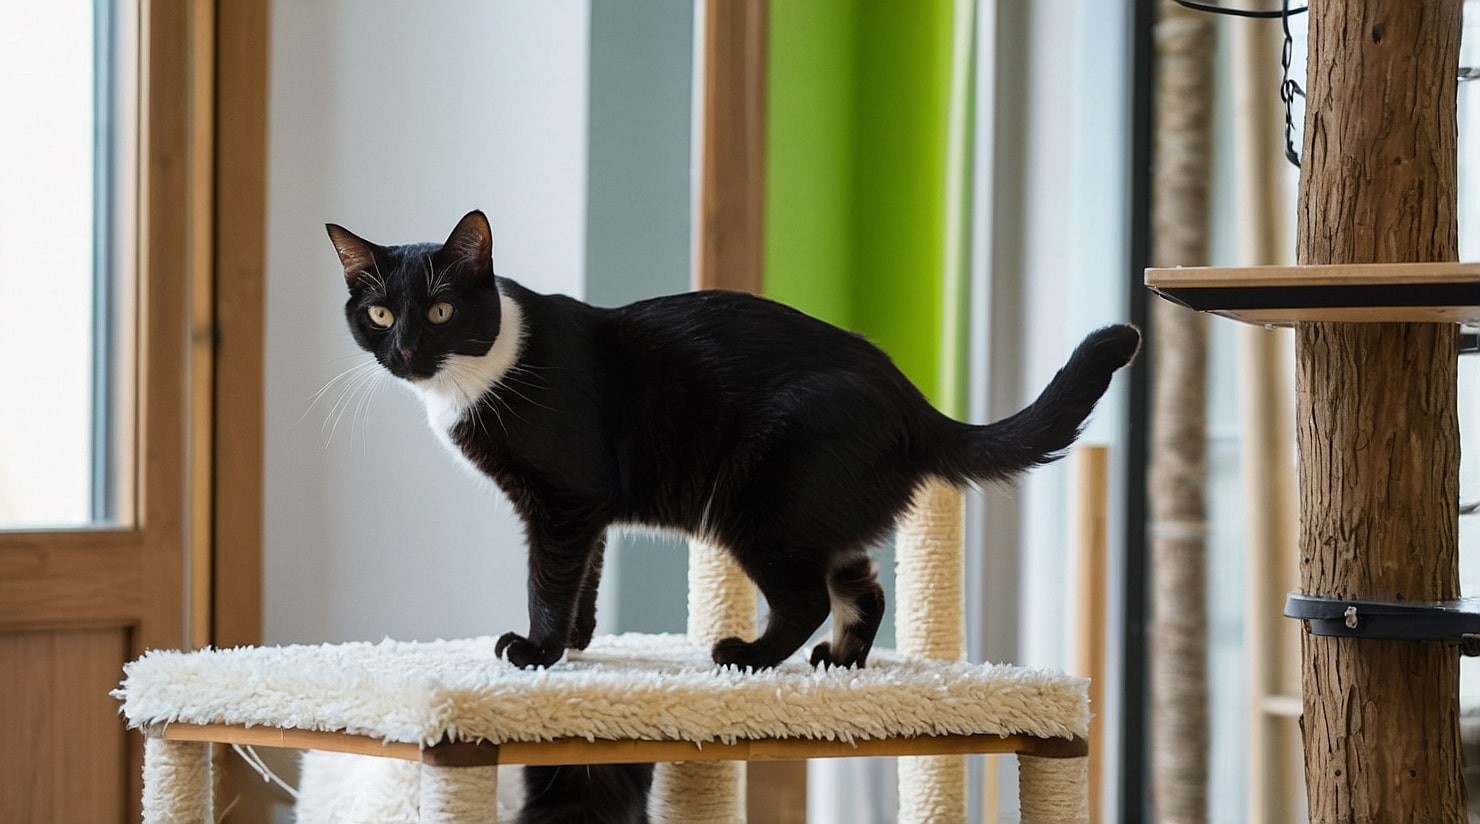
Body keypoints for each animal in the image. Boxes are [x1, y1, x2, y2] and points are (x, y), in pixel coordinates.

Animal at [327, 208, 1142, 671]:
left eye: (439, 311)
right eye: (378, 315)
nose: (405, 350)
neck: (474, 374)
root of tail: (912, 400)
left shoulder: (563, 499)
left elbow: (550, 578)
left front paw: (537, 652)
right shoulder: (587, 510)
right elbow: (587, 573)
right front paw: (581, 643)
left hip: (760, 499)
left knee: (807, 596)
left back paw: (746, 658)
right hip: (815, 512)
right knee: (864, 587)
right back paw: (838, 662)